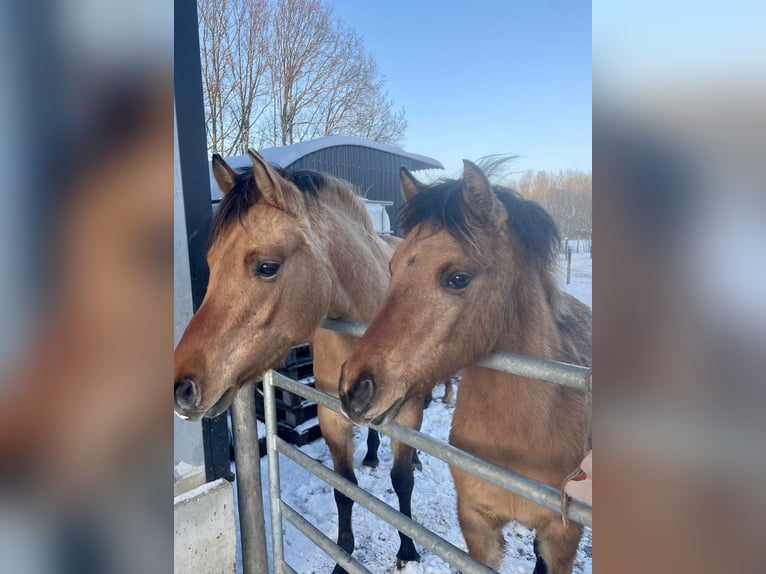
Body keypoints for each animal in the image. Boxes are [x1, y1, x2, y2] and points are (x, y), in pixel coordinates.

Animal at [173, 150, 428, 572]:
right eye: (211, 261)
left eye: (266, 267)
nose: (181, 387)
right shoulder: (332, 418)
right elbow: (344, 488)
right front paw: (342, 556)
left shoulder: (406, 415)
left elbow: (402, 480)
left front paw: (408, 547)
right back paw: (372, 453)